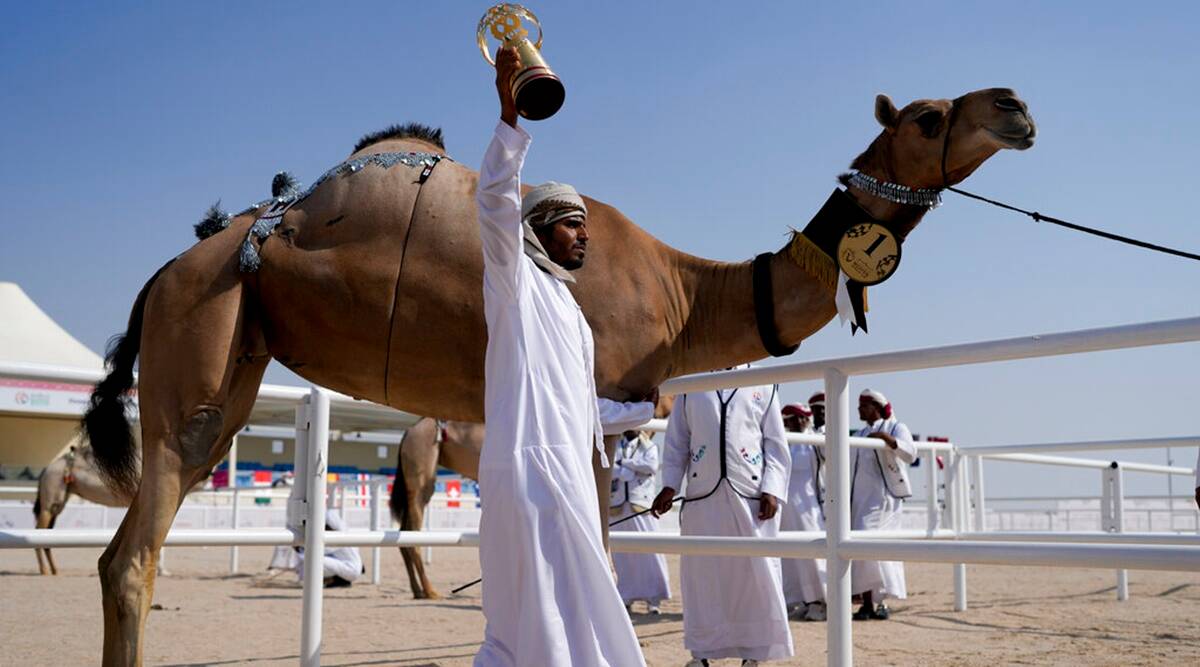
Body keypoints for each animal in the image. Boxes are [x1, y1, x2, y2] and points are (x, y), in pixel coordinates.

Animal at [82, 87, 1032, 662]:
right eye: (926, 116)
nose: (1015, 106)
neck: (686, 290)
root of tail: (166, 272)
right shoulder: (596, 395)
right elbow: (602, 547)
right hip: (204, 334)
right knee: (132, 554)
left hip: (239, 349)